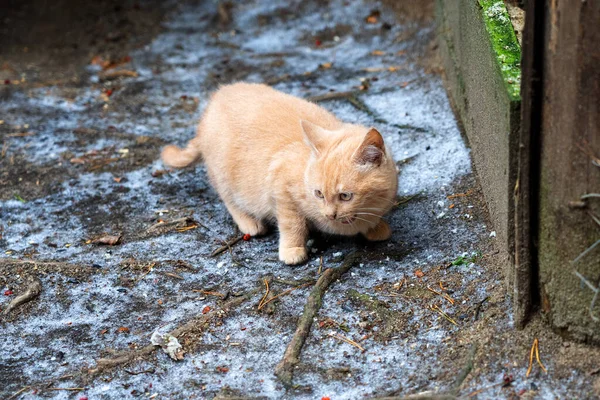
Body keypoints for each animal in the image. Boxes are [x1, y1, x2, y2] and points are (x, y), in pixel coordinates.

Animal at [163, 82, 398, 264]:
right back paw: (249, 222)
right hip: (223, 173)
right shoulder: (281, 189)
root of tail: (213, 102)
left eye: (345, 196)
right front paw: (292, 249)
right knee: (228, 198)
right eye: (318, 194)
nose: (329, 214)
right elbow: (292, 223)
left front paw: (374, 227)